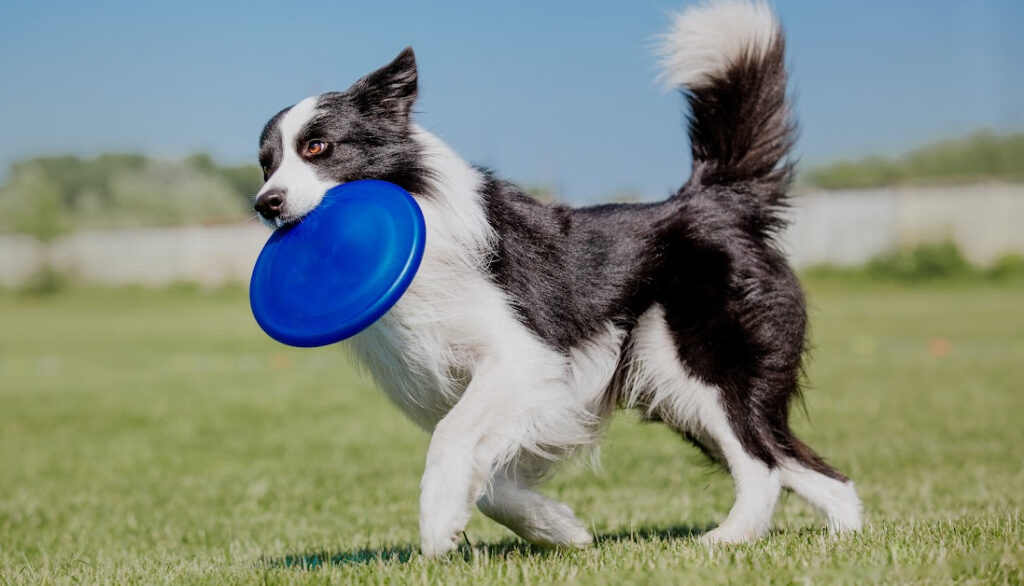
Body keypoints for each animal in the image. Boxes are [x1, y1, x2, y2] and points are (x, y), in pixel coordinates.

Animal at [251, 0, 860, 557]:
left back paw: (728, 538)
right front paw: (557, 528)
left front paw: (436, 526)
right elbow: (491, 482)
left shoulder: (524, 357)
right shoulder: (503, 389)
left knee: (762, 462)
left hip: (692, 363)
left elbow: (453, 438)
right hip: (676, 387)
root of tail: (711, 201)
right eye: (265, 163)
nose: (265, 203)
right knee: (807, 466)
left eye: (317, 147)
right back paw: (844, 539)